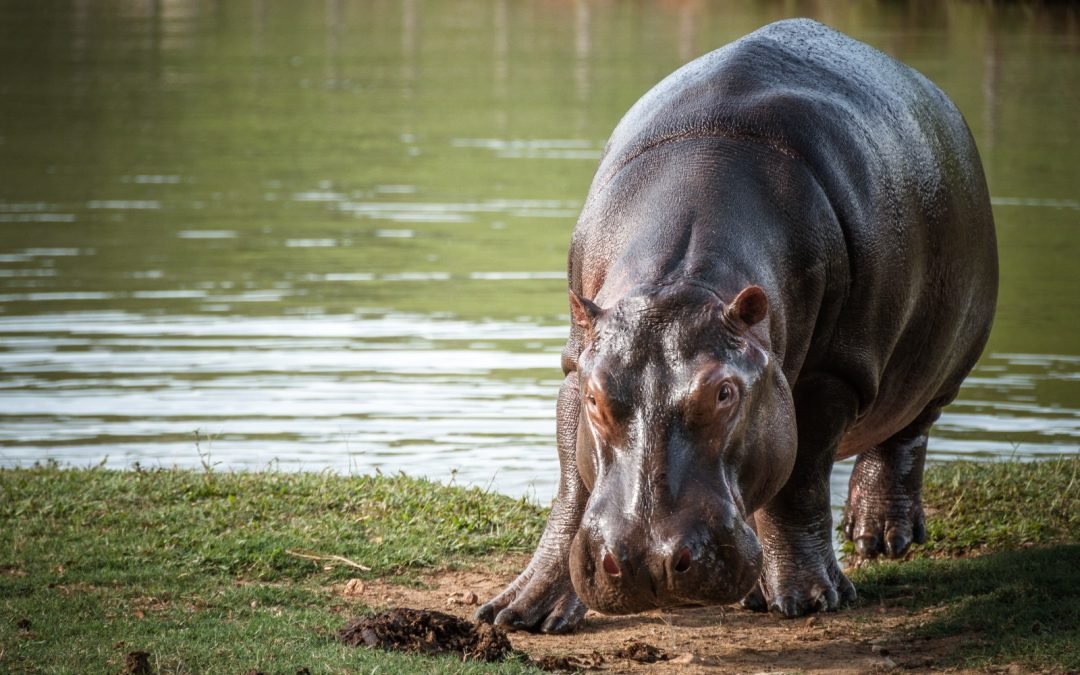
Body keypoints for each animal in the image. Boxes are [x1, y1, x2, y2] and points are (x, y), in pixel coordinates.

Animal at [477, 19, 997, 630]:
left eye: (724, 392)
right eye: (595, 399)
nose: (649, 562)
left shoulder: (830, 376)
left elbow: (799, 482)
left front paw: (810, 599)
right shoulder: (576, 360)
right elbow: (572, 484)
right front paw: (520, 612)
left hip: (946, 356)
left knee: (907, 428)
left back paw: (879, 537)